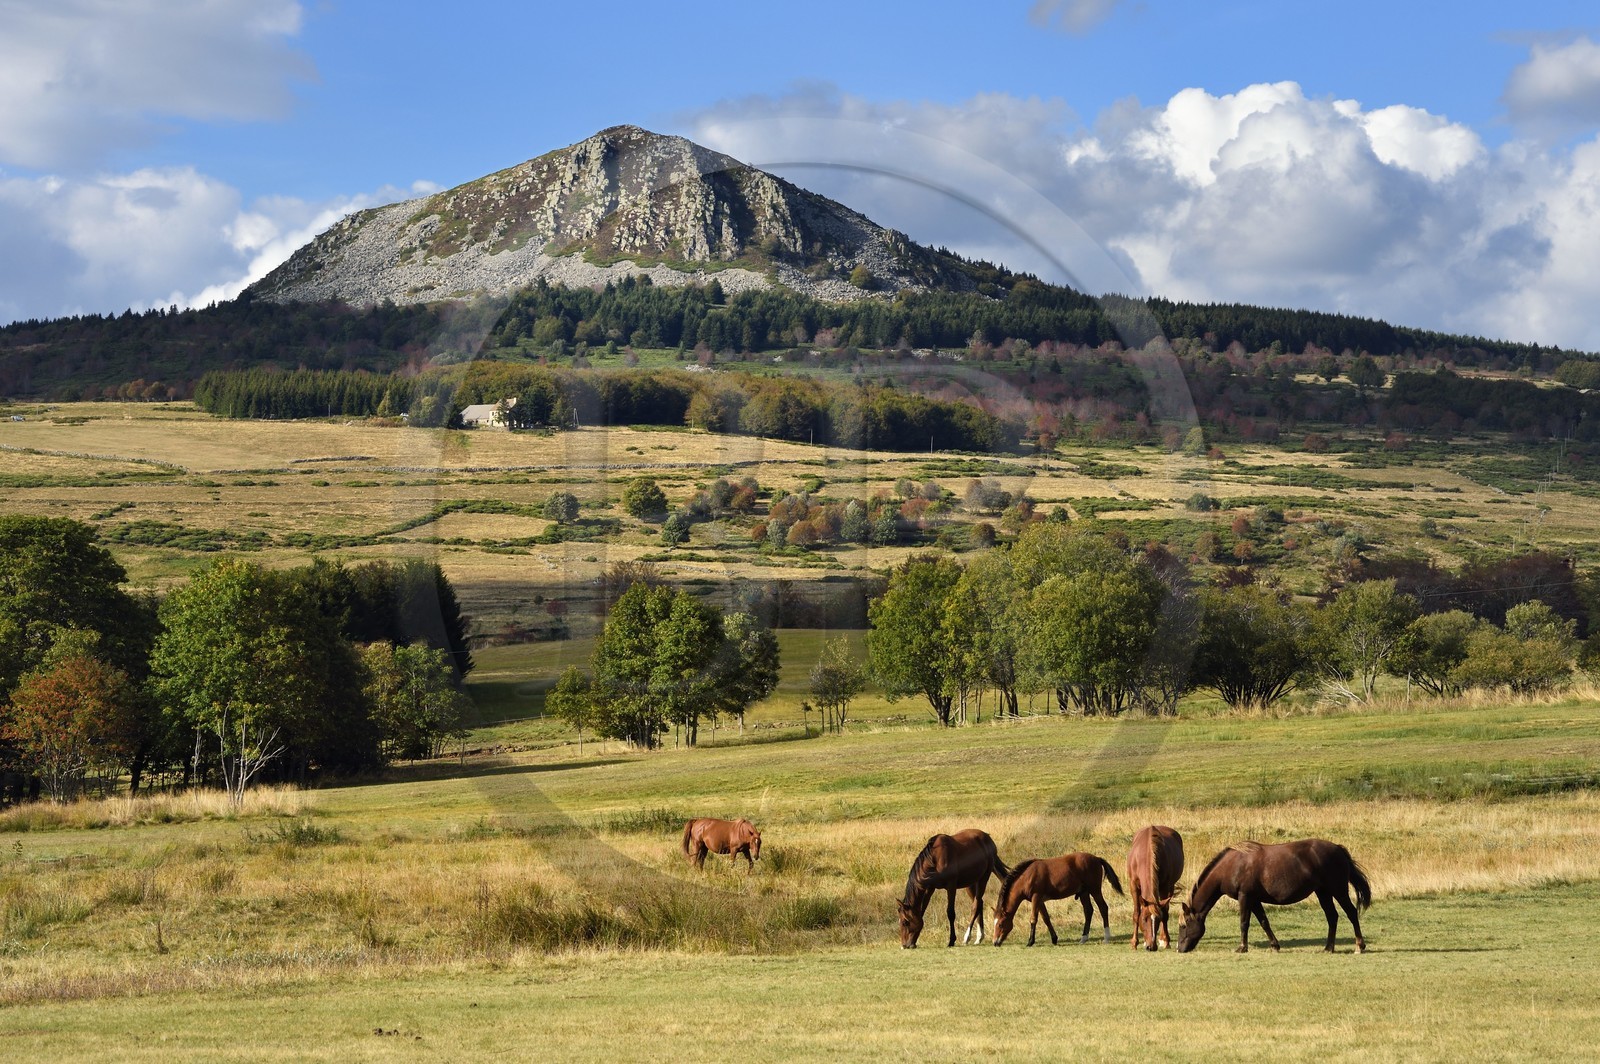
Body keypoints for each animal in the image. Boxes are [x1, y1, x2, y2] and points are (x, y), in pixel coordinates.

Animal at [991, 851, 1123, 946]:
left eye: (1001, 924)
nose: (995, 942)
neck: (1027, 877)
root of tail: (1096, 858)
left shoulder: (1036, 898)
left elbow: (1033, 919)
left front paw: (1030, 941)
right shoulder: (1040, 901)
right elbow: (1046, 918)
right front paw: (1054, 939)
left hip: (1094, 890)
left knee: (1103, 908)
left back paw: (1106, 937)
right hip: (1084, 893)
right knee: (1088, 911)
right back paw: (1083, 938)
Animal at [1176, 838, 1371, 954]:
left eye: (1184, 926)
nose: (1179, 948)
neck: (1231, 866)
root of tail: (1338, 849)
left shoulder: (1245, 897)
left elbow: (1244, 923)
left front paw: (1242, 947)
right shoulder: (1254, 900)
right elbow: (1264, 922)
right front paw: (1275, 945)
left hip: (1338, 890)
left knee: (1351, 913)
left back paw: (1359, 946)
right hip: (1323, 892)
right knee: (1332, 916)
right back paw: (1328, 948)